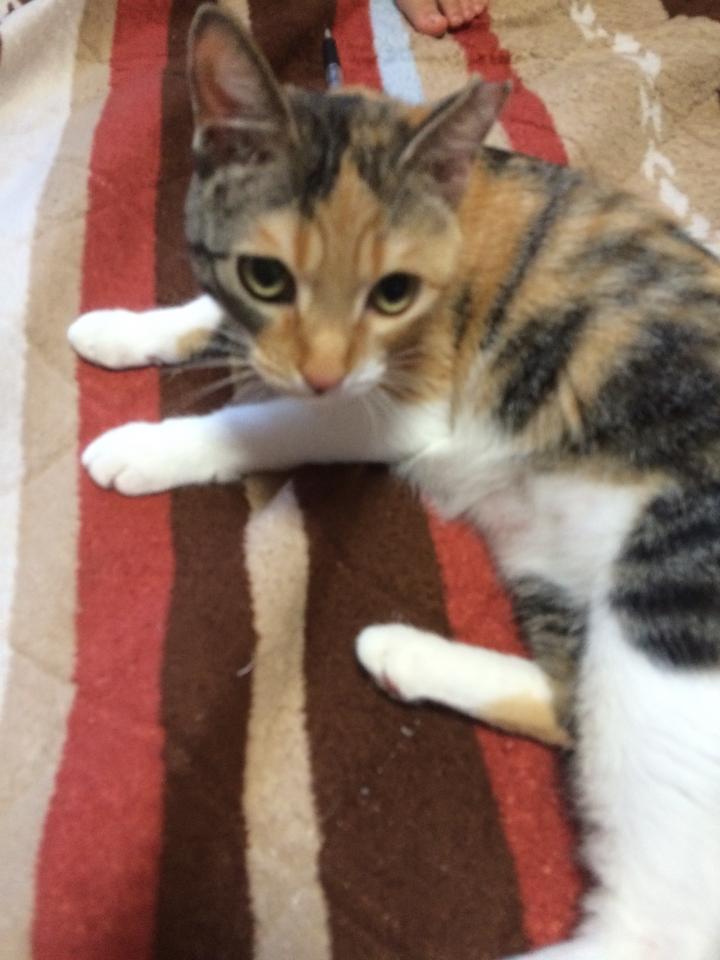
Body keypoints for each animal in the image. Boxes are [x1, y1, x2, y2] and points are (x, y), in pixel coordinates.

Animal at [68, 5, 720, 959]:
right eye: (268, 275)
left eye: (393, 292)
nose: (325, 371)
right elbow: (217, 320)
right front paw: (124, 328)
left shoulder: (401, 405)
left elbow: (265, 420)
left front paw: (148, 446)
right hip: (557, 580)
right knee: (575, 708)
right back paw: (405, 653)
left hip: (671, 584)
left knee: (658, 925)